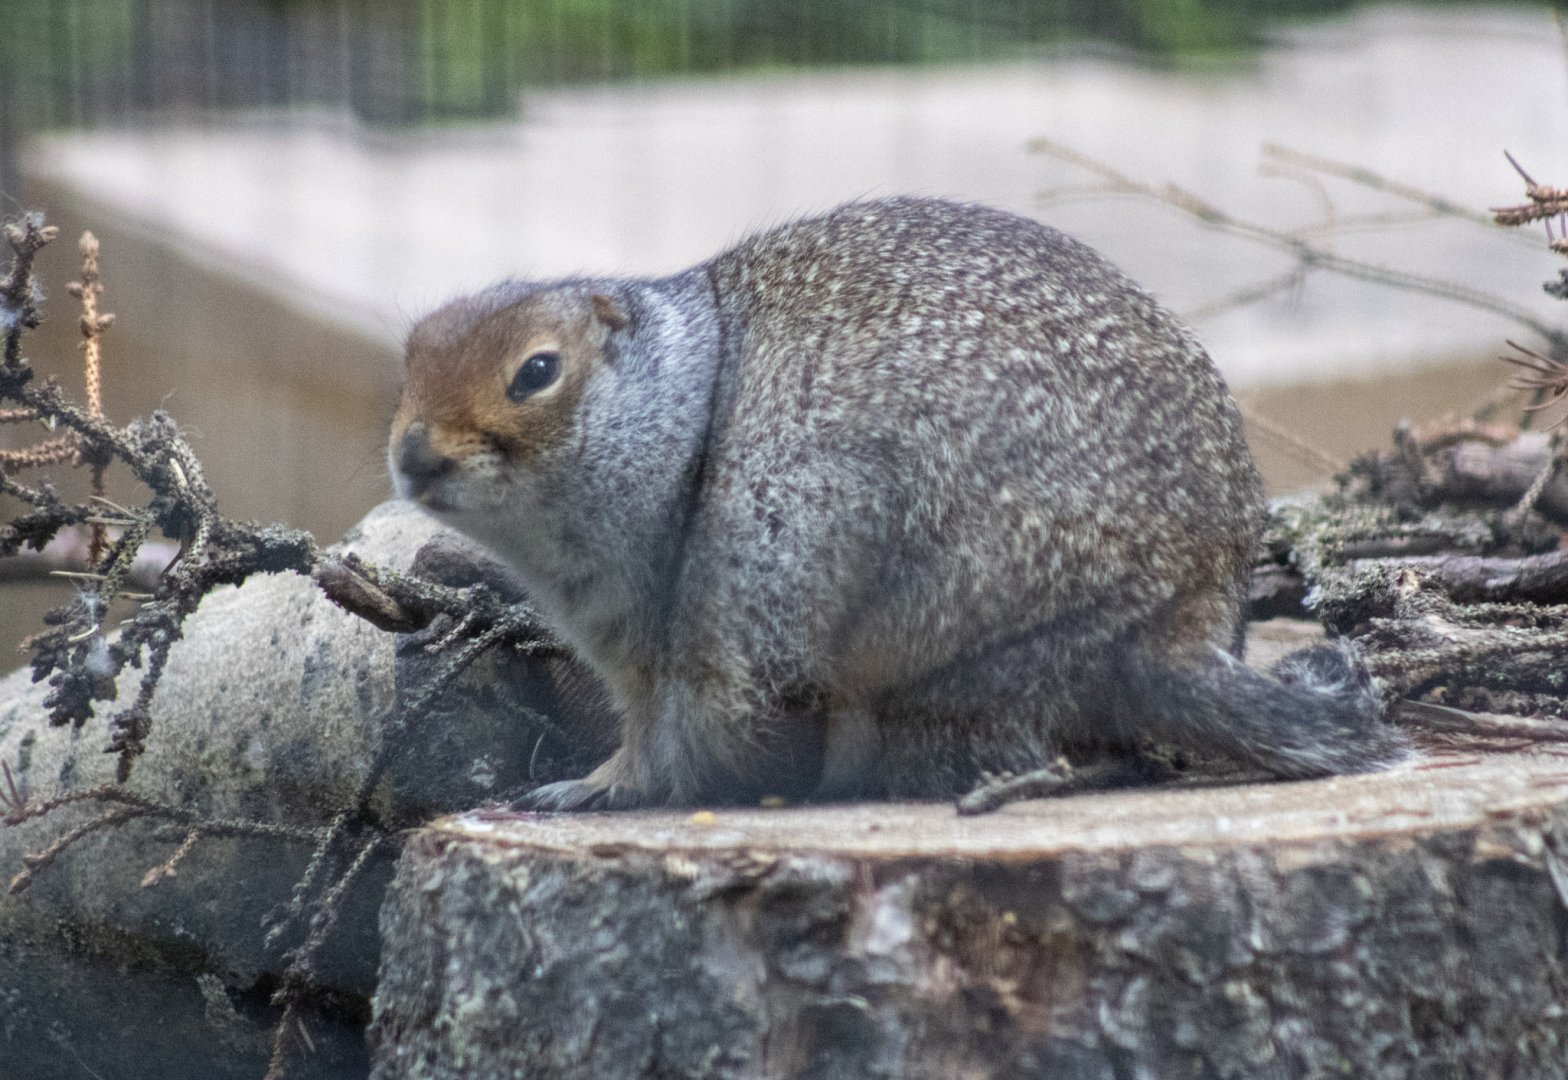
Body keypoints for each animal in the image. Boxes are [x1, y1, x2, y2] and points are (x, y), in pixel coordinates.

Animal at [389, 196, 1407, 811]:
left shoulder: (708, 621)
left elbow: (678, 740)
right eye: (409, 356)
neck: (686, 408)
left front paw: (591, 787)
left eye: (537, 371)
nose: (410, 454)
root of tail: (1182, 626)